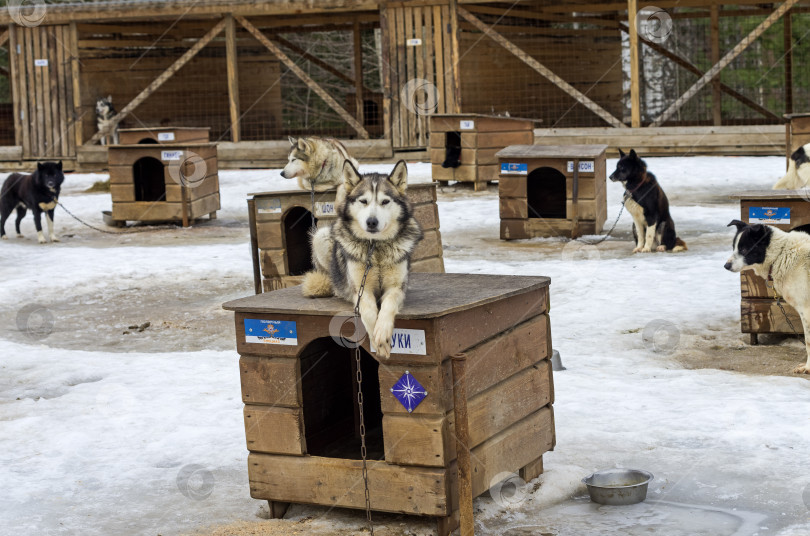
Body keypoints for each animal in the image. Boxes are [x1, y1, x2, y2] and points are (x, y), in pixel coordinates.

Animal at [300, 160, 420, 360]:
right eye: (363, 201)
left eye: (385, 202)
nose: (371, 222)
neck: (375, 248)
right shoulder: (361, 289)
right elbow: (370, 311)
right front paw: (376, 340)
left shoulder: (396, 287)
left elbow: (388, 305)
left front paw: (382, 333)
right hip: (322, 236)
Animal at [724, 220, 808, 374]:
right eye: (734, 247)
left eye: (744, 249)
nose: (726, 265)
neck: (780, 255)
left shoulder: (806, 310)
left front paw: (808, 367)